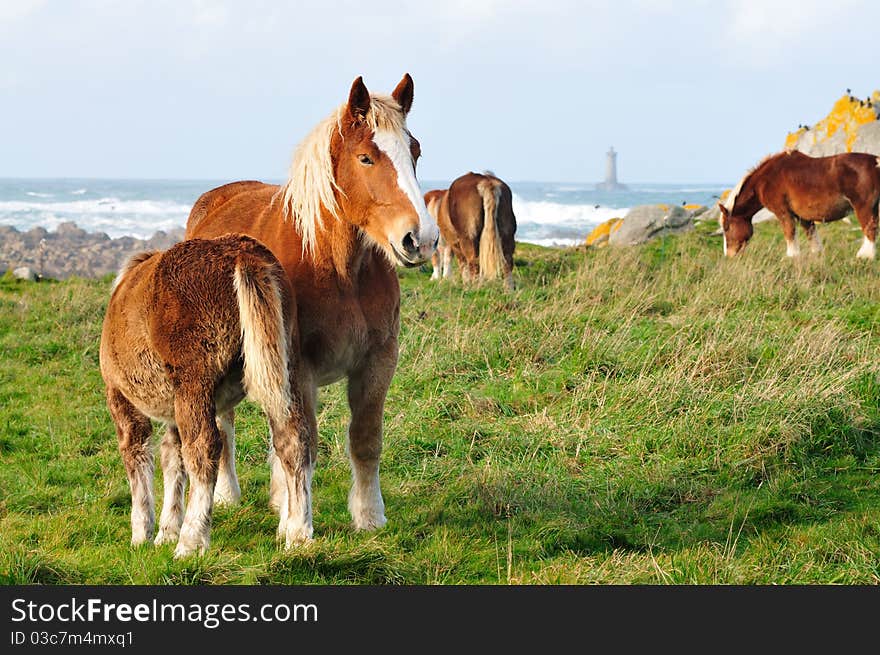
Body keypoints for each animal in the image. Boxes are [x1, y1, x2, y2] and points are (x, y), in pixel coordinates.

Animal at [100, 236, 302, 560]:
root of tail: (243, 256)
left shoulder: (121, 398)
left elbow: (138, 456)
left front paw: (142, 536)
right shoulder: (171, 409)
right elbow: (173, 458)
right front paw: (166, 532)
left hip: (194, 384)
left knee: (204, 448)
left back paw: (190, 542)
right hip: (284, 367)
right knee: (292, 440)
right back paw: (297, 536)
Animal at [181, 74, 436, 552]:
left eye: (414, 152)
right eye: (366, 157)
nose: (421, 239)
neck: (334, 267)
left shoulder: (377, 361)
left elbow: (364, 439)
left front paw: (369, 517)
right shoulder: (296, 367)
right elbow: (298, 443)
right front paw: (299, 529)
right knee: (228, 425)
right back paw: (229, 495)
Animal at [720, 150, 880, 260]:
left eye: (727, 228)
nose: (728, 255)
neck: (766, 179)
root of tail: (876, 161)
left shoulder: (783, 213)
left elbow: (789, 233)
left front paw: (792, 256)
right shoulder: (804, 217)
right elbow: (811, 235)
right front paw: (817, 255)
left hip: (863, 208)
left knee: (870, 229)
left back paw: (865, 256)